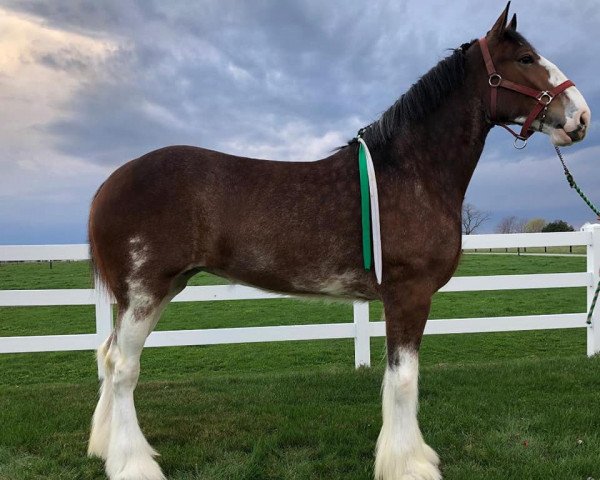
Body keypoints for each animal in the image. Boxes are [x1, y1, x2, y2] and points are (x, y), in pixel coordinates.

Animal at [85, 4, 592, 480]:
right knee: (124, 367)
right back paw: (133, 463)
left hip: (160, 290)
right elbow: (404, 379)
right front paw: (408, 464)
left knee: (108, 356)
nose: (581, 116)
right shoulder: (409, 294)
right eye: (525, 58)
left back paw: (105, 448)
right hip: (146, 291)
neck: (412, 173)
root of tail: (109, 185)